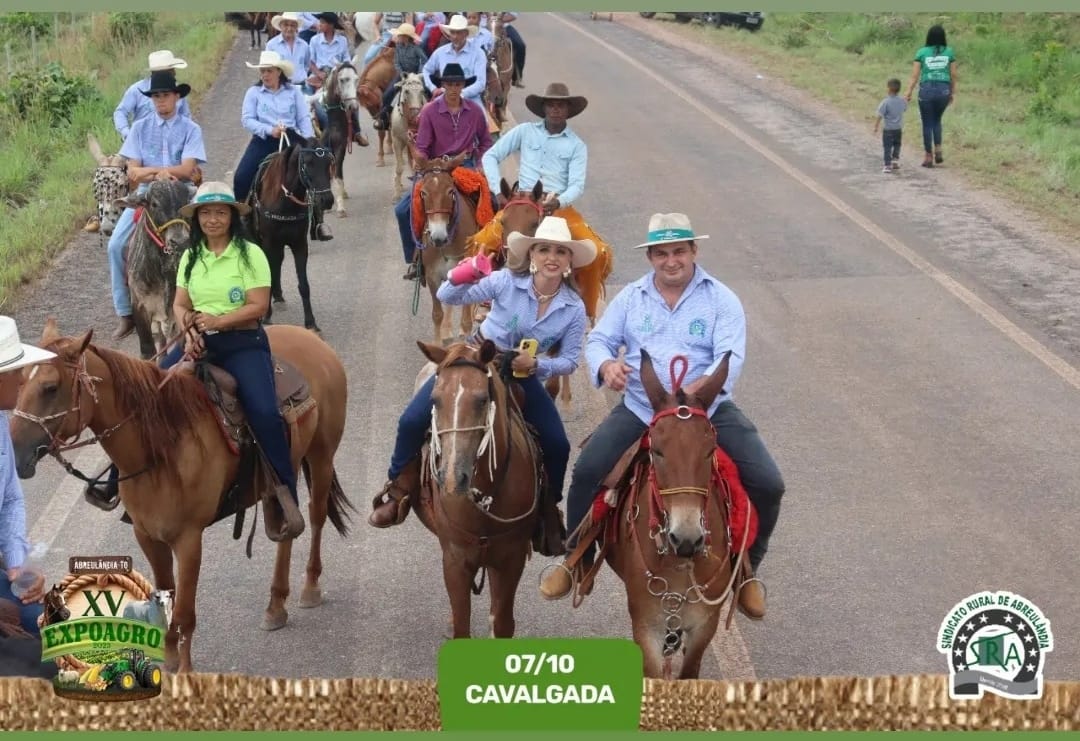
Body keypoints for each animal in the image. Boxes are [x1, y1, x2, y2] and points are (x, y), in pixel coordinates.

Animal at [8, 321, 354, 678]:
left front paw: (185, 669)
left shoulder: (189, 539)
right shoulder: (147, 535)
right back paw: (275, 605)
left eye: (50, 387)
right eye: (20, 382)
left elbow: (185, 609)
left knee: (315, 516)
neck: (162, 448)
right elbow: (165, 597)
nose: (15, 453)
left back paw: (309, 587)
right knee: (285, 529)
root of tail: (310, 338)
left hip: (321, 456)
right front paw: (170, 658)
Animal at [408, 341, 540, 639]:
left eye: (481, 399)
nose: (452, 478)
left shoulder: (511, 558)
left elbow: (502, 623)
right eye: (434, 400)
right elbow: (461, 626)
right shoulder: (455, 561)